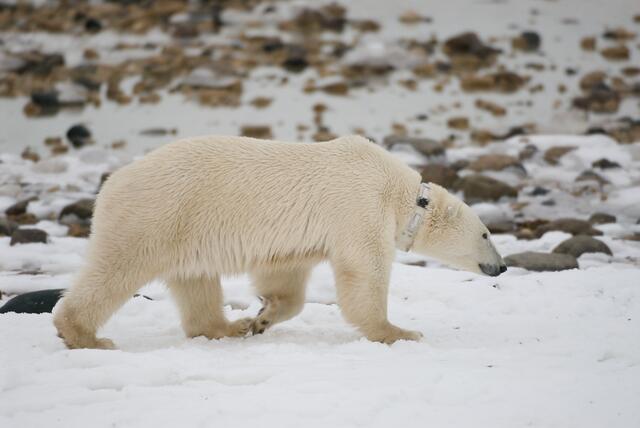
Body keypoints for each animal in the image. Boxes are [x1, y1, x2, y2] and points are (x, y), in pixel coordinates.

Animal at [53, 135, 506, 349]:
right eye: (487, 234)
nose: (501, 266)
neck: (400, 191)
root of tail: (110, 185)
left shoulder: (299, 236)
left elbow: (284, 274)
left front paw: (262, 318)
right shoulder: (358, 204)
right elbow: (364, 272)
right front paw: (399, 332)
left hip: (185, 228)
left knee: (195, 279)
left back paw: (227, 327)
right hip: (156, 215)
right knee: (117, 269)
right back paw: (84, 334)